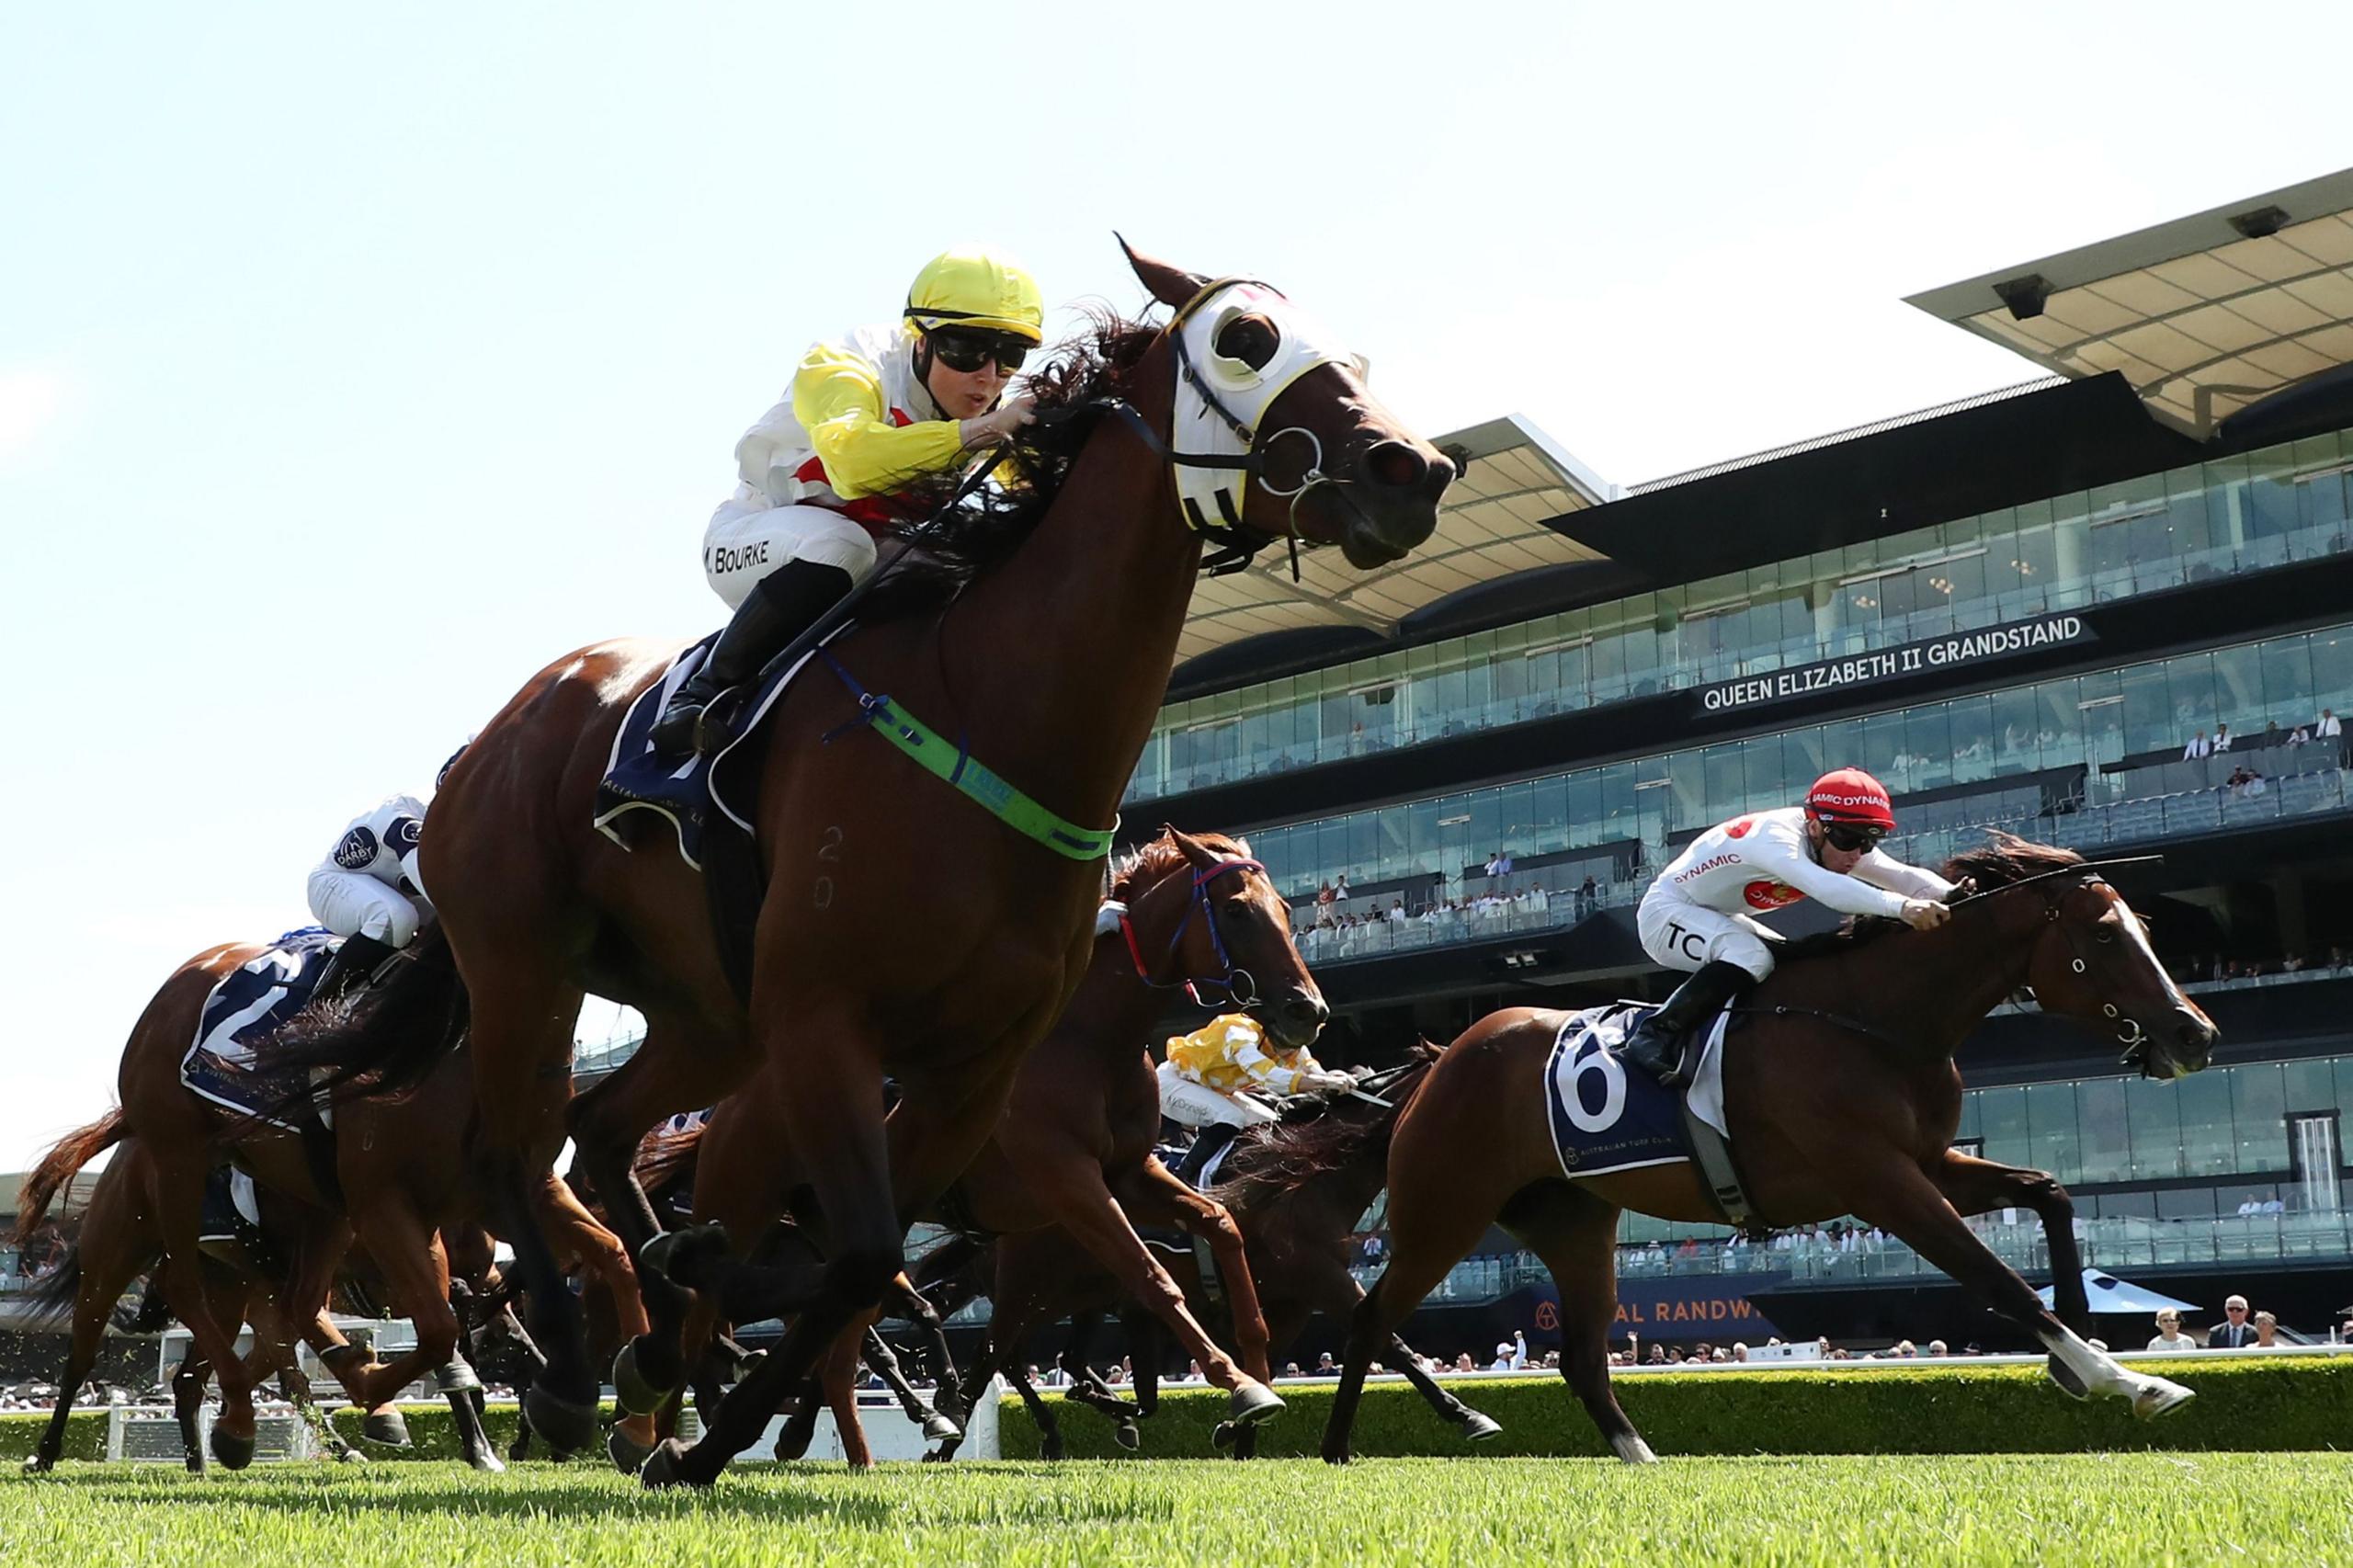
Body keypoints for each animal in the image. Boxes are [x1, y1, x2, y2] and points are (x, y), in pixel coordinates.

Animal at [308, 241, 1449, 1478]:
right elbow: (865, 1257)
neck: (990, 712)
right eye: (1245, 340)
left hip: (709, 1015)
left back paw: (661, 1324)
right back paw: (573, 1375)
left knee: (602, 1129)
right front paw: (723, 1424)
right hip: (527, 964)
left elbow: (879, 1261)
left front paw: (711, 1414)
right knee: (514, 1154)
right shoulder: (829, 1023)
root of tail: (487, 739)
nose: (1414, 469)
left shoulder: (974, 1068)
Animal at [1326, 837, 2221, 1460]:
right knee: (1369, 1321)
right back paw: (1342, 1451)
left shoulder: (1930, 1164)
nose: (2196, 1034)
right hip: (1443, 1212)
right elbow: (1996, 1278)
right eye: (2104, 937)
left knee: (1581, 1358)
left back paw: (1643, 1459)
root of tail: (1444, 1057)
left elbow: (2050, 1193)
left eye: (2144, 928)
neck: (1871, 1022)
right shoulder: (1878, 1181)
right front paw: (2126, 1379)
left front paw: (2078, 1358)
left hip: (1575, 1223)